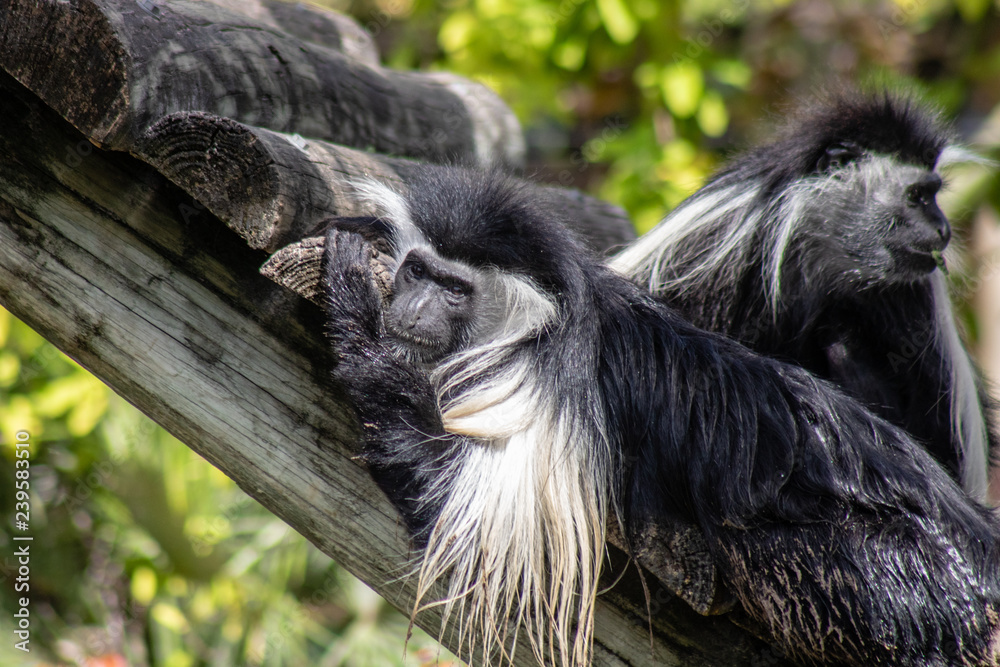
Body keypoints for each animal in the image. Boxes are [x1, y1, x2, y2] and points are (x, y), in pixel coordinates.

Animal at [320, 167, 1000, 666]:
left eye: (454, 289)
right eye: (417, 271)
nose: (412, 309)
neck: (530, 322)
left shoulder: (541, 392)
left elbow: (470, 539)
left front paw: (352, 301)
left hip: (901, 576)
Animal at [609, 90, 996, 502]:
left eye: (934, 195)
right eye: (917, 196)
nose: (943, 229)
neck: (823, 250)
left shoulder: (915, 293)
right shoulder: (713, 240)